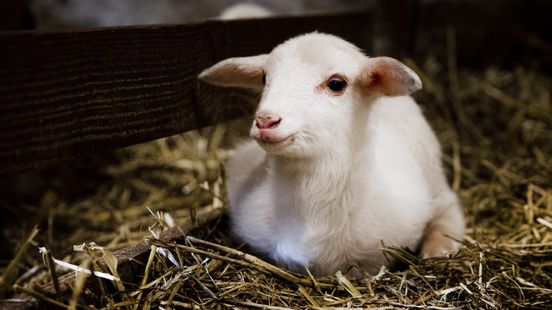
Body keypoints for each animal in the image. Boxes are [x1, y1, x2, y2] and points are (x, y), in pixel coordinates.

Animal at [198, 32, 466, 274]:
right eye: (264, 78)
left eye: (336, 83)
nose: (266, 120)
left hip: (432, 172)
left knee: (449, 207)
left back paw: (439, 248)